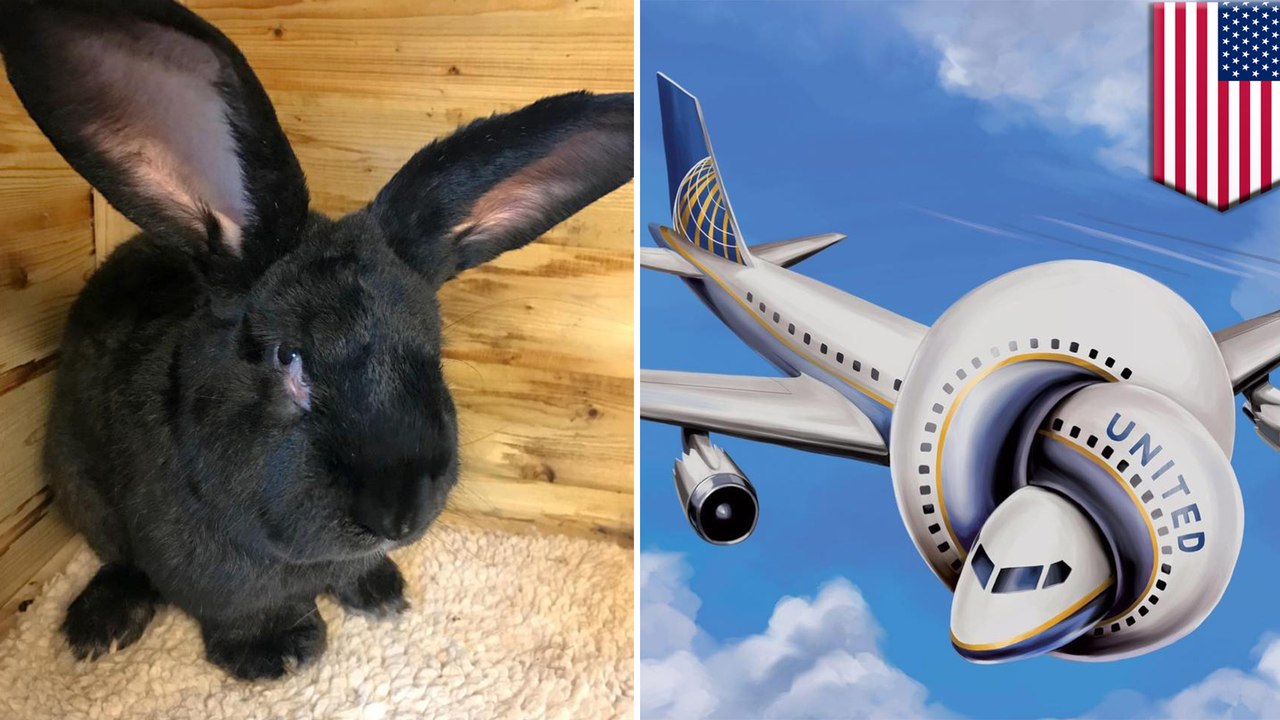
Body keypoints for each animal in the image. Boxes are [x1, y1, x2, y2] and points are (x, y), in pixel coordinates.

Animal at [0, 0, 632, 680]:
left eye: (433, 351)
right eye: (288, 358)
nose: (399, 514)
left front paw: (381, 594)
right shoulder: (207, 577)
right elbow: (238, 610)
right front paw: (278, 654)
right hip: (77, 481)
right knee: (117, 557)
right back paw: (99, 626)